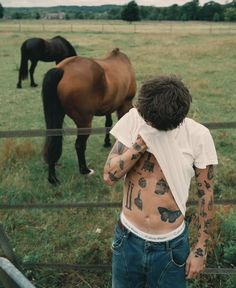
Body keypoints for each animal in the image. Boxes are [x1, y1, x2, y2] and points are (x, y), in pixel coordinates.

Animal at [41, 47, 136, 184]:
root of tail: (63, 69)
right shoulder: (125, 104)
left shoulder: (109, 107)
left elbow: (108, 124)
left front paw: (107, 143)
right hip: (84, 122)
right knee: (79, 145)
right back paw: (84, 170)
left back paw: (52, 177)